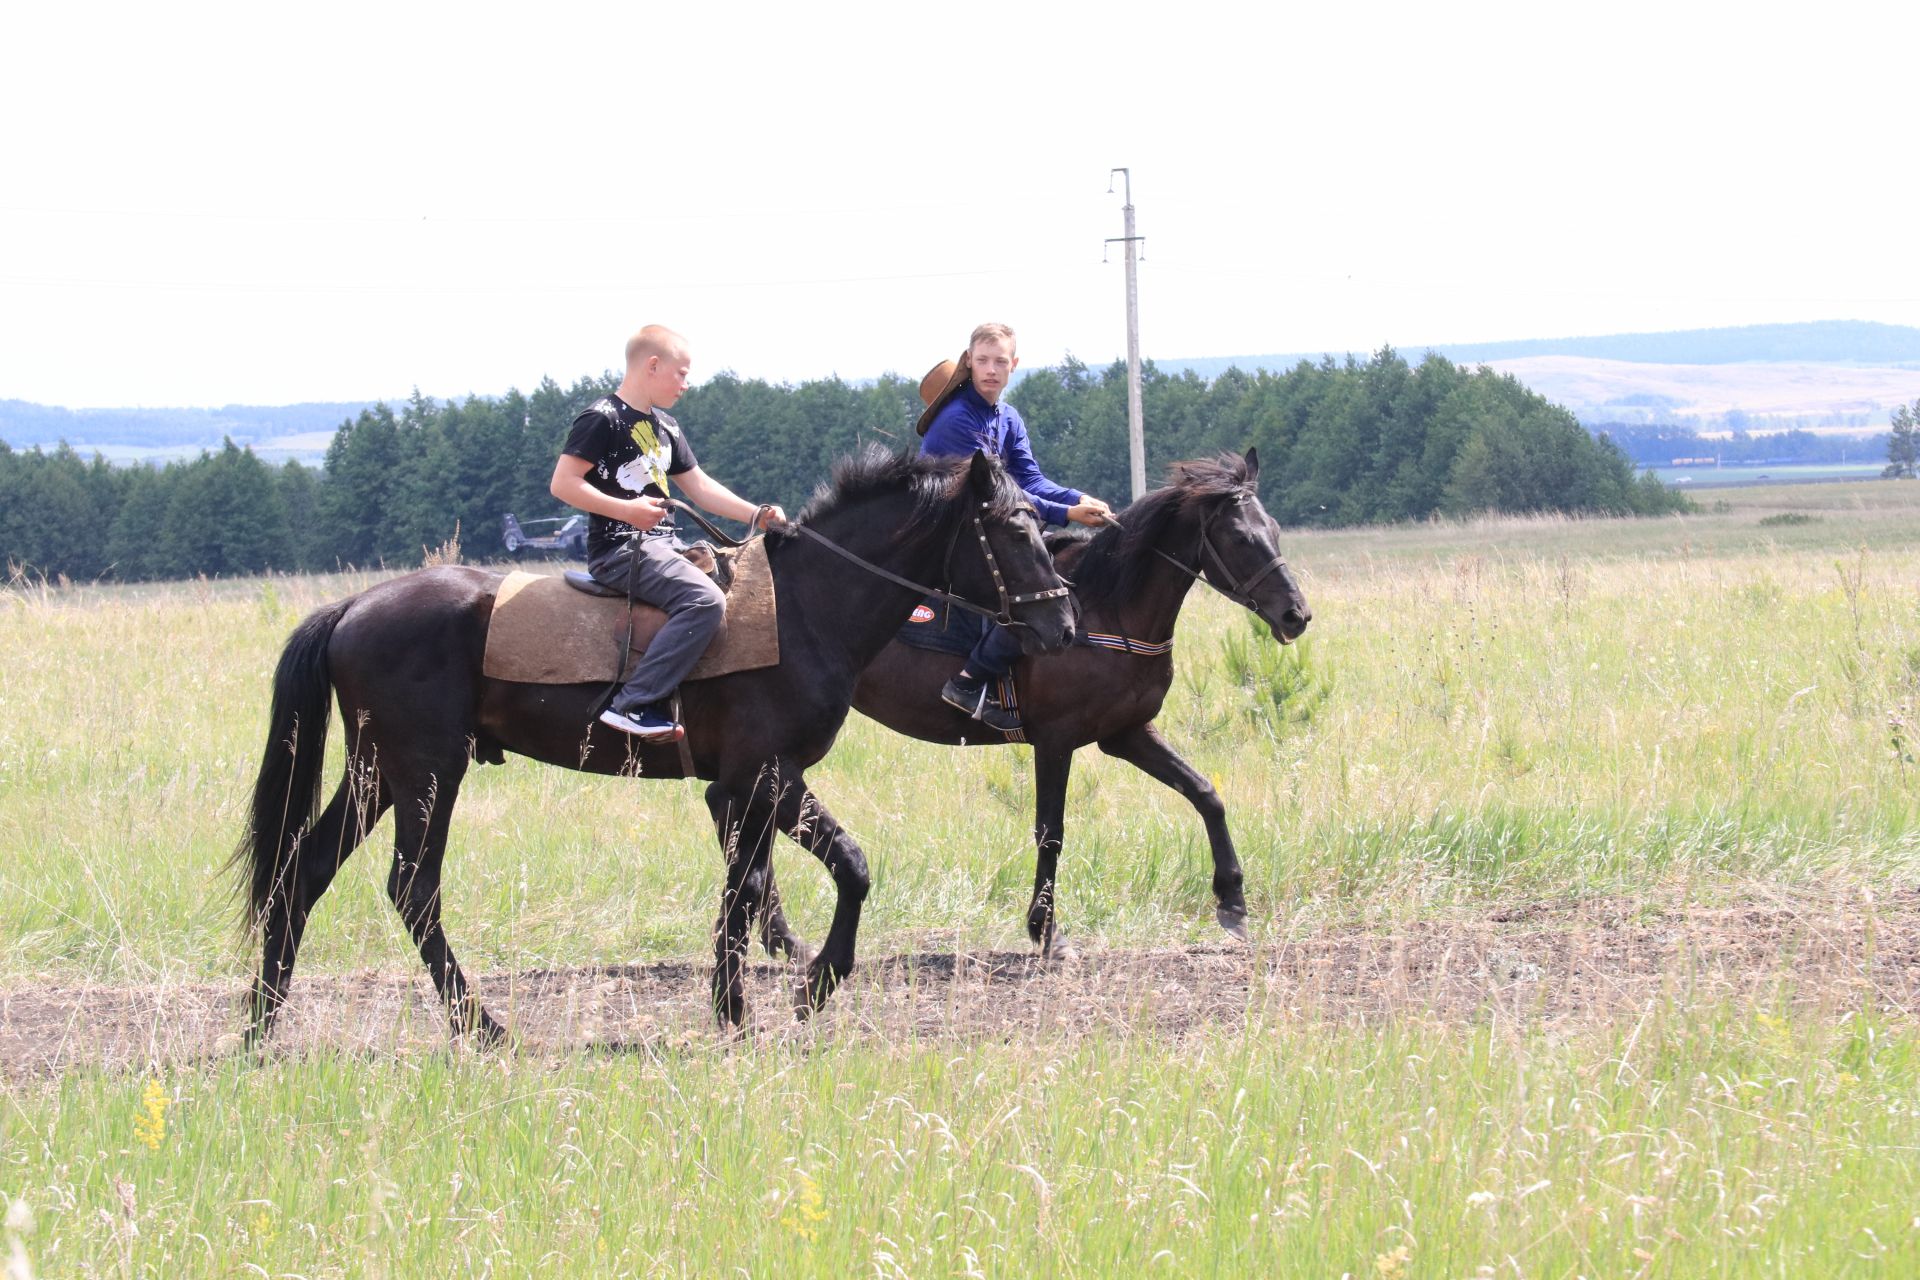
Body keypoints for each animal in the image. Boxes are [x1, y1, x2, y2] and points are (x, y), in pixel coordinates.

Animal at [232, 449, 1075, 1043]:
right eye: (1014, 529)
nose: (1062, 625)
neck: (804, 609)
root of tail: (352, 607)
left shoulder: (748, 786)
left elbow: (762, 886)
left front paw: (751, 1001)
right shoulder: (763, 775)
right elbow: (826, 873)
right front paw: (800, 989)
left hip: (378, 772)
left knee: (302, 873)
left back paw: (262, 1024)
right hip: (426, 772)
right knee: (412, 890)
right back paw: (484, 1027)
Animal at [756, 445, 1313, 955]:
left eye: (1274, 529)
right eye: (1241, 537)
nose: (1296, 615)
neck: (1107, 609)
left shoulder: (1127, 733)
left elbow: (1205, 794)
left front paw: (1233, 902)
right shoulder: (1055, 740)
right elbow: (1052, 832)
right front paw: (1045, 930)